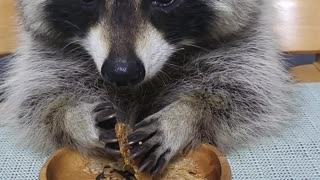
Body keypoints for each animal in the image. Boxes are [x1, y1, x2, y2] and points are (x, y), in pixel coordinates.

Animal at [1, 0, 292, 175]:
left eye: (167, 1)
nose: (121, 72)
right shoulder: (47, 53)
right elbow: (38, 100)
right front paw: (74, 117)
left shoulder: (246, 42)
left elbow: (246, 94)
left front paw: (185, 114)